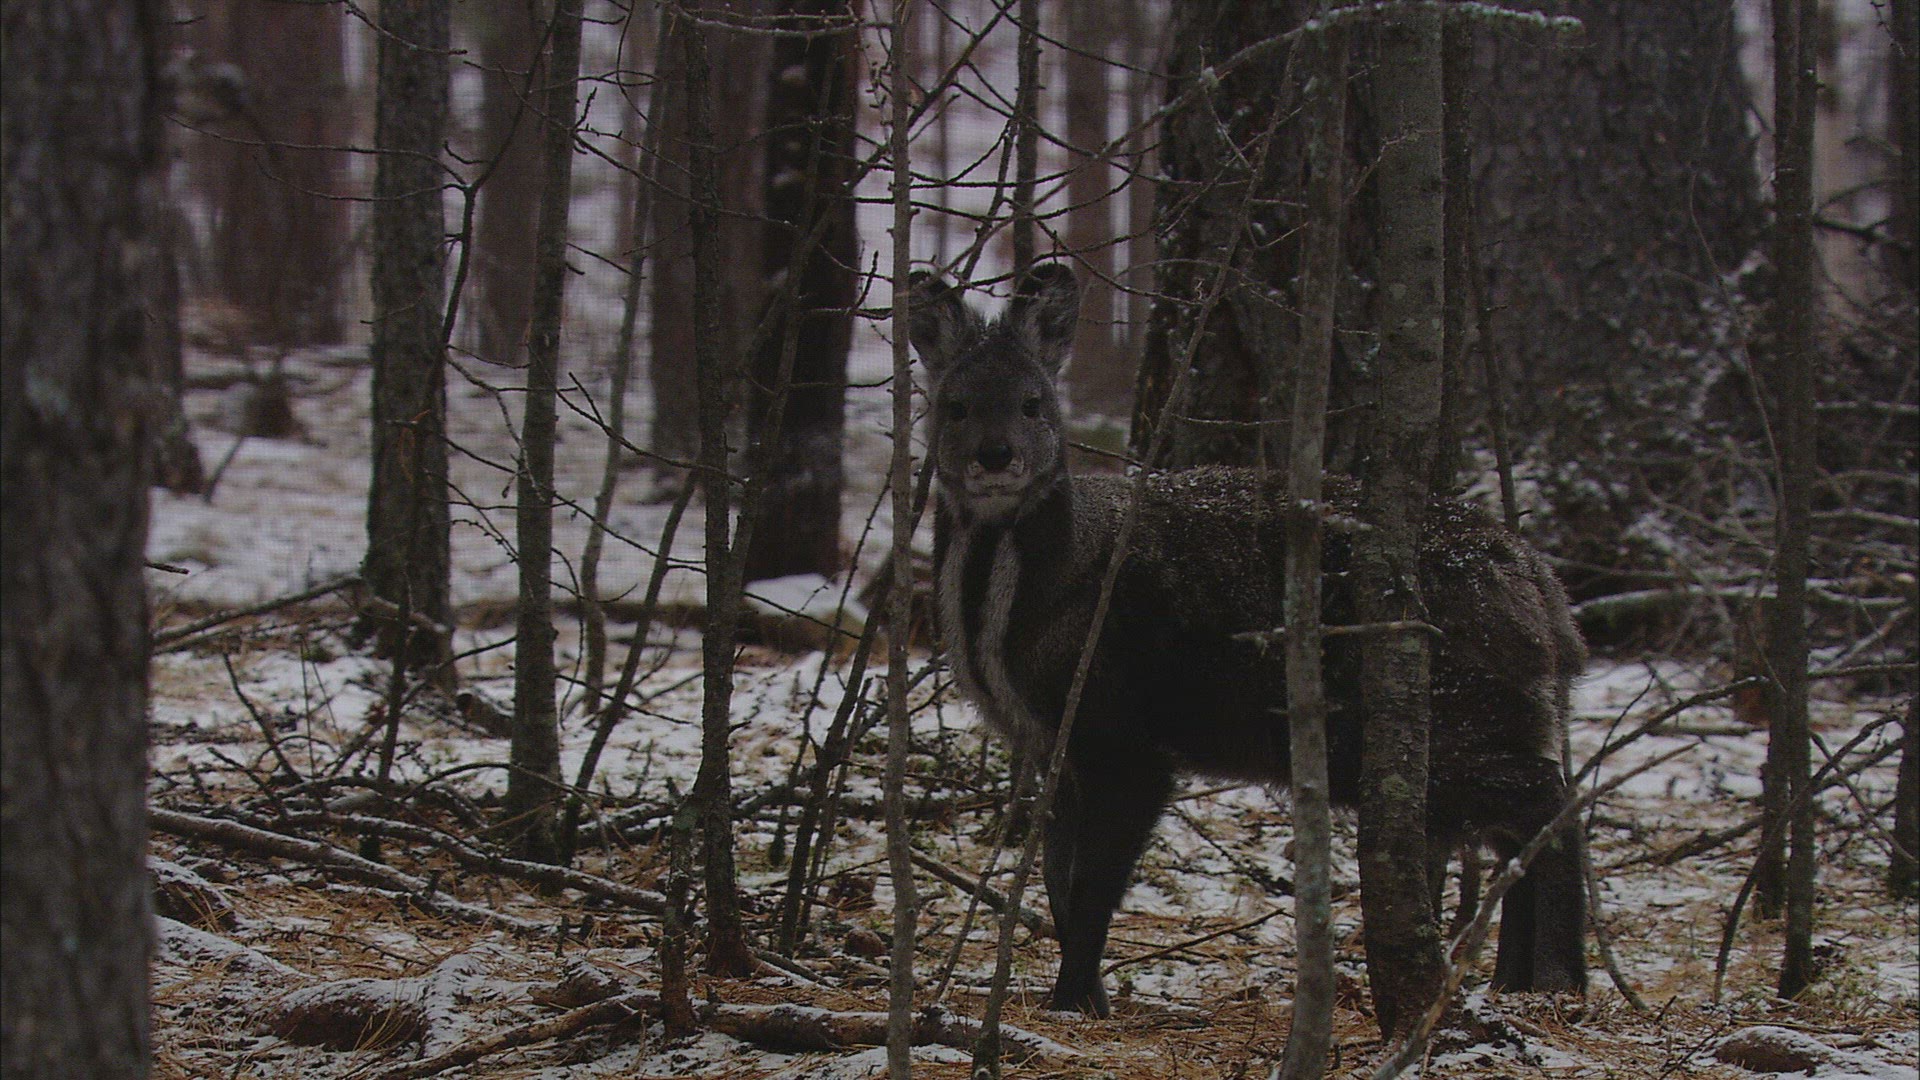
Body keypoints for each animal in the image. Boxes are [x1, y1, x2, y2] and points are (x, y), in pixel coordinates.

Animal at [907, 261, 1589, 1016]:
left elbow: (1091, 888)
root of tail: (1548, 599)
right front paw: (1094, 999)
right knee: (1522, 823)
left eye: (1033, 404)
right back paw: (1512, 978)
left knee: (1553, 803)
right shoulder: (1054, 746)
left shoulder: (1125, 736)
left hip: (1458, 718)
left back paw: (1557, 977)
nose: (995, 456)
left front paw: (1073, 1001)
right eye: (955, 406)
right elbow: (1056, 879)